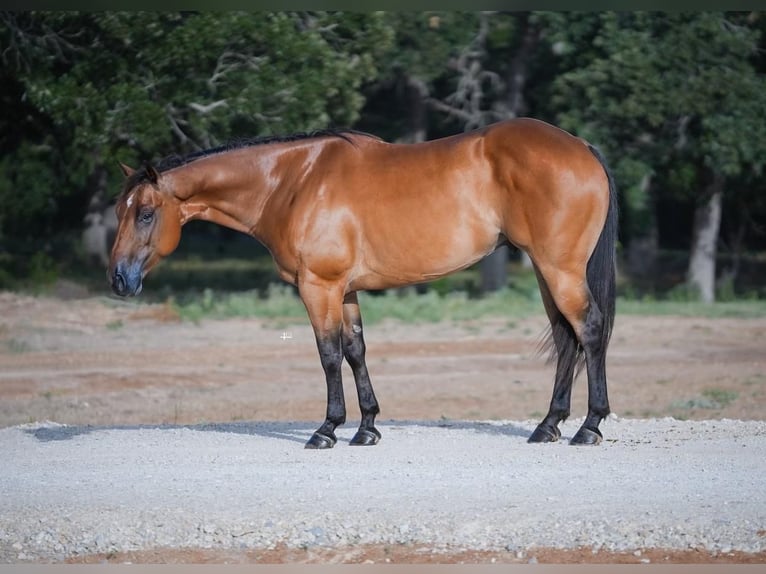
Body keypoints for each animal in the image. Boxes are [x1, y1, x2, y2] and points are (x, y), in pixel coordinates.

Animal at [111, 117, 620, 450]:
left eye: (146, 213)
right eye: (121, 210)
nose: (119, 279)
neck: (293, 182)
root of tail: (581, 146)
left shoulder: (319, 286)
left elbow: (329, 354)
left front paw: (327, 429)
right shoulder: (346, 289)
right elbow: (356, 350)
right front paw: (367, 427)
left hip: (559, 268)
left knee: (589, 329)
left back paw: (588, 427)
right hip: (545, 269)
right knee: (566, 336)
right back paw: (548, 425)